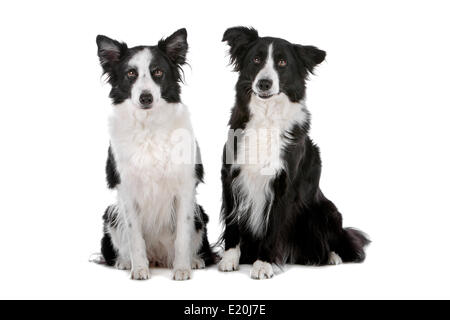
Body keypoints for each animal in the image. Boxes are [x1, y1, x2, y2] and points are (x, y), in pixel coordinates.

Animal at [95, 29, 214, 280]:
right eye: (131, 73)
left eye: (158, 72)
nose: (146, 97)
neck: (148, 125)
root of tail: (159, 257)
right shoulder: (127, 190)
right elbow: (135, 237)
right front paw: (139, 269)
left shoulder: (185, 187)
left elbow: (182, 236)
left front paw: (182, 269)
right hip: (111, 213)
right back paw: (124, 262)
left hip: (200, 214)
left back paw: (195, 260)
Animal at [218, 26, 370, 278]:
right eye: (256, 59)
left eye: (282, 62)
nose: (264, 83)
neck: (267, 117)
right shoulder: (231, 176)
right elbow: (232, 223)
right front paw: (230, 258)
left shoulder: (284, 185)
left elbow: (273, 227)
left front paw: (264, 263)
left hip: (326, 211)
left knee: (344, 242)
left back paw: (332, 256)